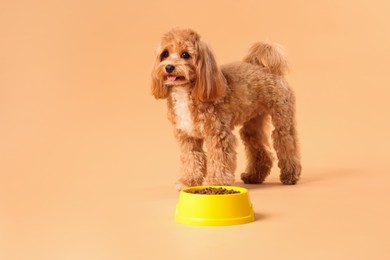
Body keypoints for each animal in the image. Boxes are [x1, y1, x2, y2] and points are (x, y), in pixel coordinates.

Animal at [151, 27, 300, 189]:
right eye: (165, 54)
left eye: (185, 54)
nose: (169, 67)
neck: (187, 90)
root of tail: (265, 68)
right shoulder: (187, 136)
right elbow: (192, 159)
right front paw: (188, 182)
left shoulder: (218, 134)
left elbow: (219, 160)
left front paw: (216, 184)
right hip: (253, 124)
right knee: (259, 148)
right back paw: (253, 176)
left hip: (282, 118)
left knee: (286, 143)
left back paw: (290, 175)